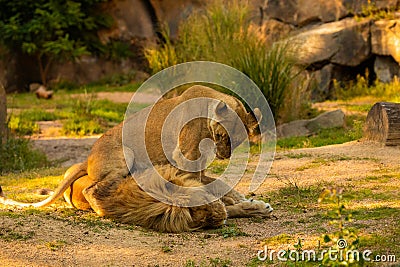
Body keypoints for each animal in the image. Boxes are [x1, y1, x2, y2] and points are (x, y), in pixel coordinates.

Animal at [0, 85, 272, 232]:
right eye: (222, 135)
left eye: (238, 141)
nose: (225, 155)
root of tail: (86, 160)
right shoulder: (184, 161)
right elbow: (205, 190)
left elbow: (219, 186)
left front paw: (248, 203)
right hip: (126, 156)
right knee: (93, 190)